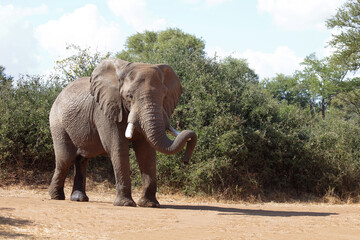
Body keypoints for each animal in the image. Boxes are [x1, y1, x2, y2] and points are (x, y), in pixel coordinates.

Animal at [47, 57, 197, 207]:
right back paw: (56, 197)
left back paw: (79, 198)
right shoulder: (105, 110)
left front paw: (149, 204)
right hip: (57, 122)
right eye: (129, 96)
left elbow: (146, 152)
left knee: (81, 159)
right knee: (65, 159)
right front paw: (125, 204)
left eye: (164, 96)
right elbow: (118, 148)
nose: (185, 160)